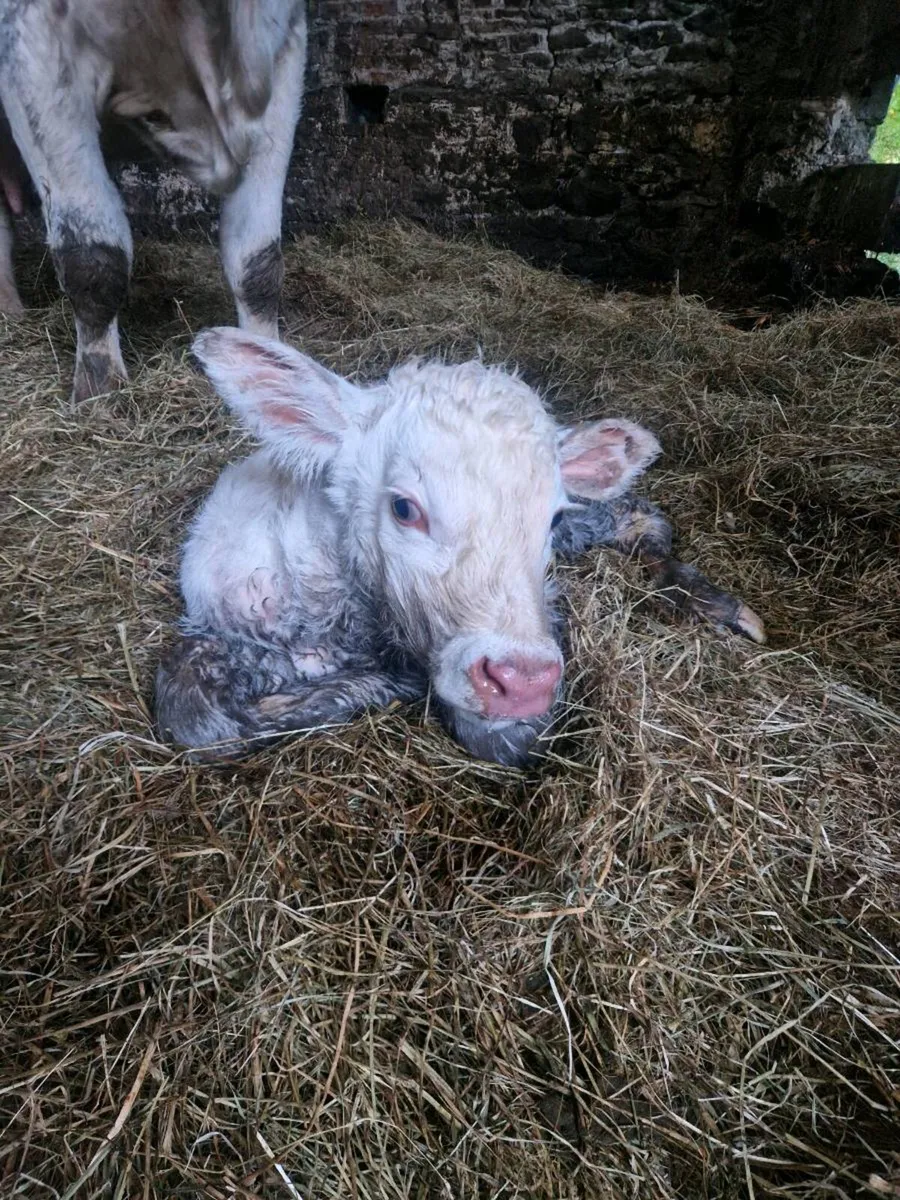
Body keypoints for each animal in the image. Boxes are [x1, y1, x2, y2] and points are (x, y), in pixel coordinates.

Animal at [0, 0, 306, 399]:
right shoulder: (34, 44)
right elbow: (94, 258)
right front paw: (100, 390)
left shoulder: (283, 43)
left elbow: (257, 258)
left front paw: (268, 365)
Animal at [155, 329, 766, 767]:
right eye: (404, 508)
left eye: (549, 517)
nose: (522, 684)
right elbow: (201, 724)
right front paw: (387, 683)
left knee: (635, 512)